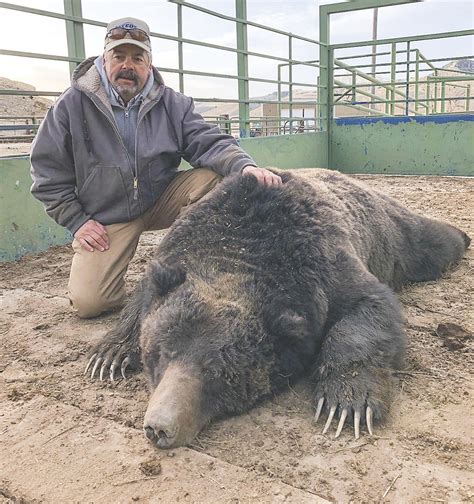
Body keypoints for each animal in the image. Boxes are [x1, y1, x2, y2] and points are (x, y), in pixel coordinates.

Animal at [85, 170, 470, 448]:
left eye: (219, 373)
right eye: (162, 353)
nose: (159, 427)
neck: (238, 250)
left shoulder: (326, 265)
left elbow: (369, 307)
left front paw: (346, 403)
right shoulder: (177, 252)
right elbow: (141, 298)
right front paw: (108, 356)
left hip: (393, 233)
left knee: (430, 241)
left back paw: (463, 236)